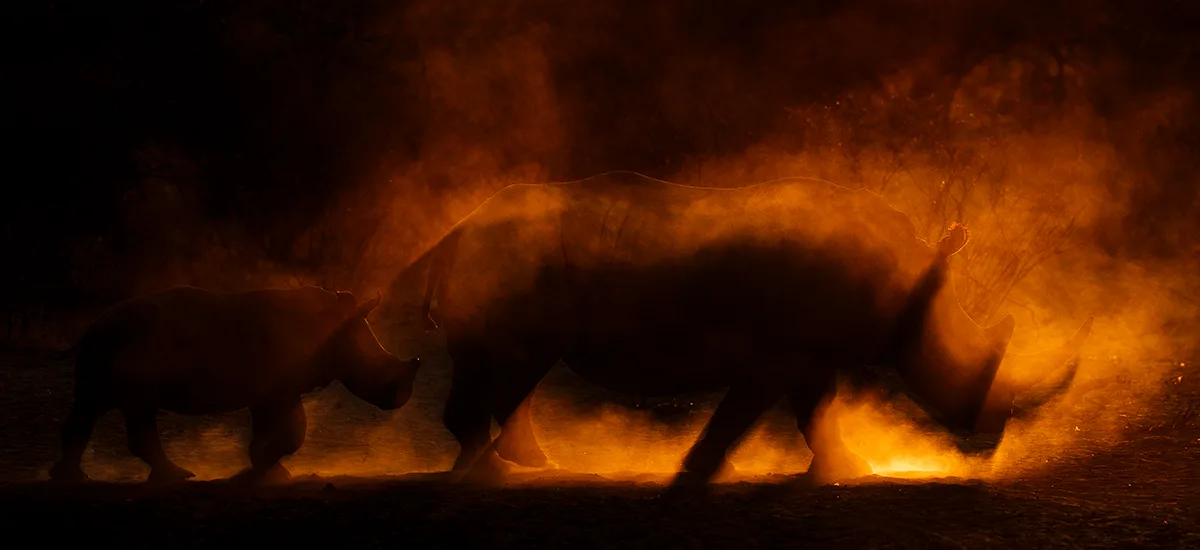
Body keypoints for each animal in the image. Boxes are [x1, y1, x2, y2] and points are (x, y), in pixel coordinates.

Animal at [47, 286, 421, 484]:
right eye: (377, 371)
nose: (401, 400)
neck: (336, 333)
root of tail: (92, 324)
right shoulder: (279, 388)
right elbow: (292, 432)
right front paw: (259, 472)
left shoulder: (277, 389)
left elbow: (282, 429)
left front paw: (270, 472)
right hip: (121, 341)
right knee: (127, 408)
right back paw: (176, 476)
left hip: (111, 344)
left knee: (95, 406)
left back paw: (72, 479)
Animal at [395, 171, 1092, 490]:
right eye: (959, 363)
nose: (994, 428)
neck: (908, 288)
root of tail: (457, 229)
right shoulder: (782, 350)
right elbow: (757, 410)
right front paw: (698, 471)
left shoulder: (810, 351)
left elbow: (818, 411)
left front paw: (850, 468)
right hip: (512, 267)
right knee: (511, 366)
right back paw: (500, 468)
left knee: (501, 367)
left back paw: (512, 464)